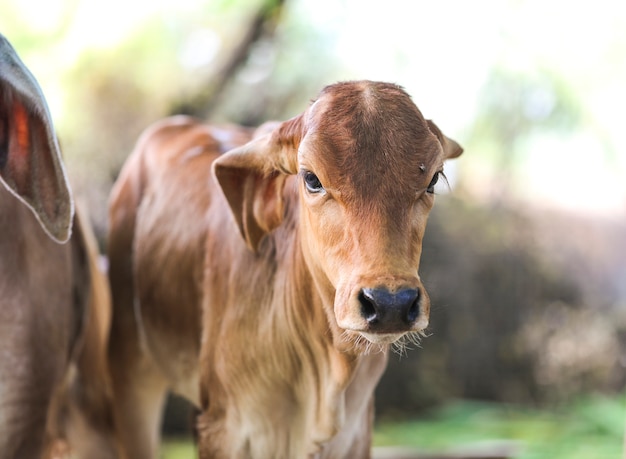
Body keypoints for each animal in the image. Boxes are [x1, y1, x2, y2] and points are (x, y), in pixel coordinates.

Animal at [106, 81, 458, 458]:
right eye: (311, 179)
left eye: (433, 178)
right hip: (131, 374)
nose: (390, 303)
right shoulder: (223, 429)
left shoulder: (358, 432)